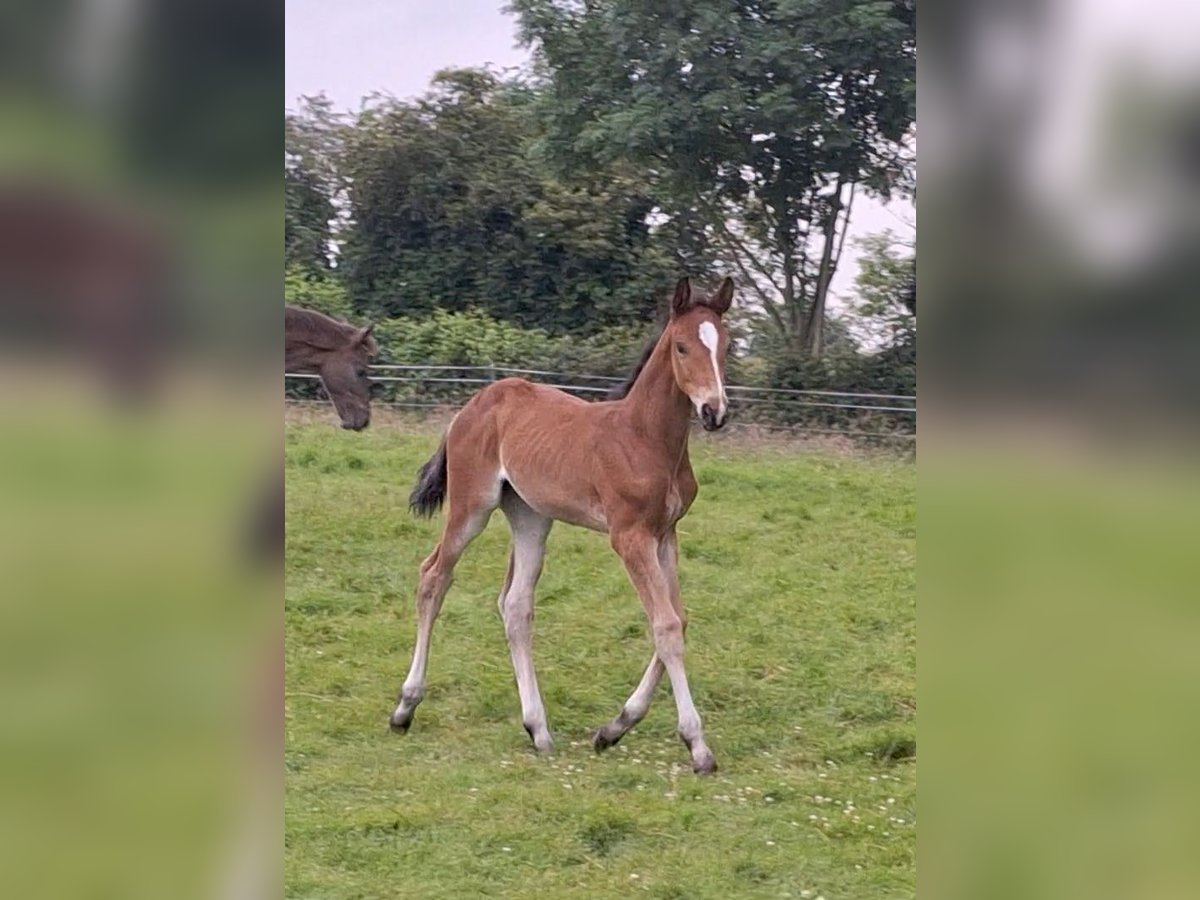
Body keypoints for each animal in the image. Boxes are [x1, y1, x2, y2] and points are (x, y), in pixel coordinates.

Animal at [393, 277, 729, 777]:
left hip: (530, 516)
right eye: (682, 346)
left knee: (515, 605)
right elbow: (665, 625)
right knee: (434, 576)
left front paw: (614, 728)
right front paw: (697, 746)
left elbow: (678, 619)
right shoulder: (629, 537)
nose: (714, 412)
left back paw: (539, 730)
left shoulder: (665, 534)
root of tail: (475, 404)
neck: (645, 439)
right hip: (472, 507)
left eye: (724, 346)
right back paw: (405, 707)